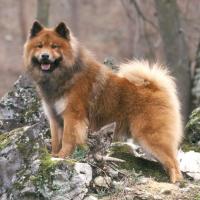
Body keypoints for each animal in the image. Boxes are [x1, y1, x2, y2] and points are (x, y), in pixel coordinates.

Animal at [23, 21, 183, 183]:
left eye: (55, 46)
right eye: (39, 46)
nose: (45, 56)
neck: (65, 75)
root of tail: (155, 88)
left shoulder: (72, 116)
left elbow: (68, 139)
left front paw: (62, 156)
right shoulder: (55, 118)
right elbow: (56, 141)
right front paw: (53, 156)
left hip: (151, 136)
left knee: (174, 162)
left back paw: (176, 181)